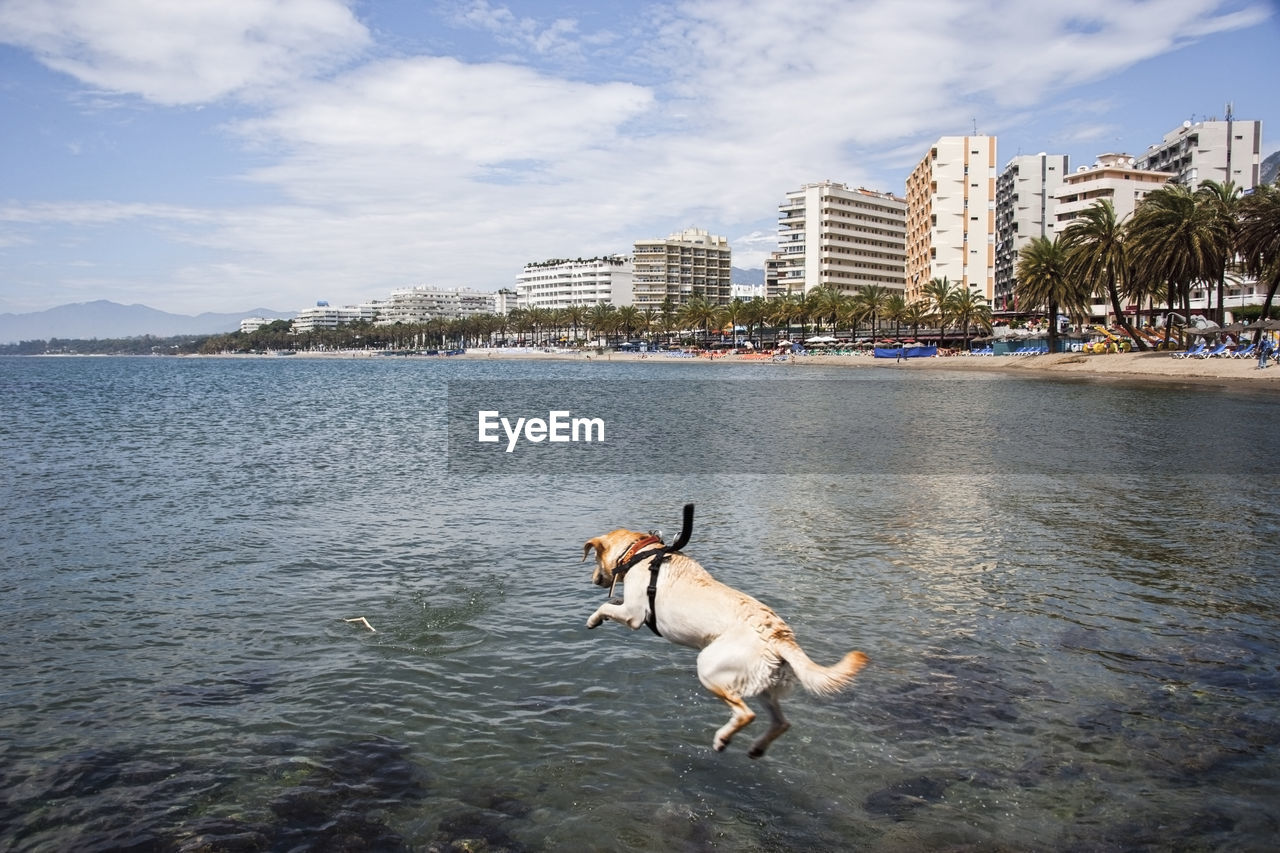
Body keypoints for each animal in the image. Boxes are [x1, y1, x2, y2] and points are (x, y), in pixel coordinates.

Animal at [583, 525, 870, 758]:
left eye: (594, 559)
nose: (594, 580)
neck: (642, 553)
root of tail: (777, 635)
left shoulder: (633, 614)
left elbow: (606, 606)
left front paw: (594, 619)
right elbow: (613, 602)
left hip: (710, 668)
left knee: (745, 713)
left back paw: (723, 738)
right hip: (762, 682)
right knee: (781, 722)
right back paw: (757, 747)